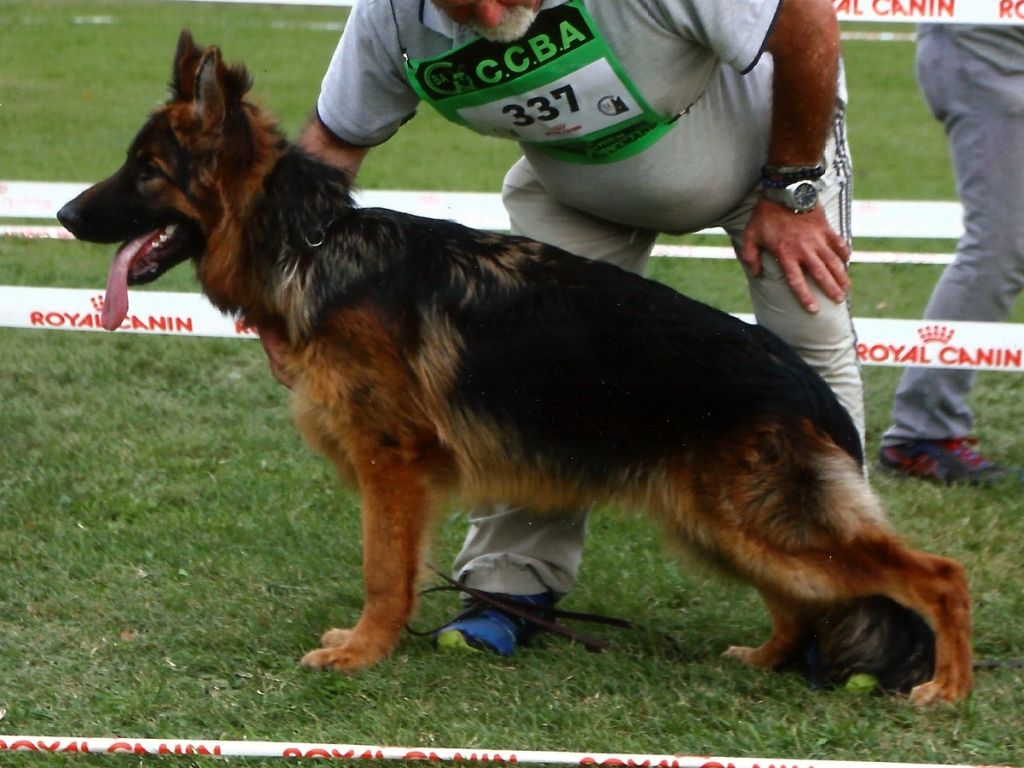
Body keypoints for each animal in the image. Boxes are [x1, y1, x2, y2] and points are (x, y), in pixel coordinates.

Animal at [59, 28, 970, 704]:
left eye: (147, 171)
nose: (65, 215)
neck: (310, 246)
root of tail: (814, 393)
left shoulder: (393, 467)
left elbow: (382, 570)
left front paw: (363, 651)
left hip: (759, 523)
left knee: (938, 575)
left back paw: (948, 687)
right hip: (719, 526)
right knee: (804, 599)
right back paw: (769, 657)